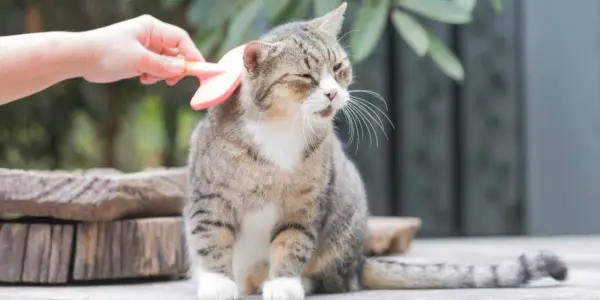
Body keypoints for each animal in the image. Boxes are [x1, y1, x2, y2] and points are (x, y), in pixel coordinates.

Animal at [185, 2, 568, 300]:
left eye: (338, 68)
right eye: (306, 77)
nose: (331, 93)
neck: (282, 128)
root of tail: (360, 260)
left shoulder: (305, 204)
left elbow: (292, 242)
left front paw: (283, 283)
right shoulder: (209, 195)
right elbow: (211, 237)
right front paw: (217, 284)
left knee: (338, 279)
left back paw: (295, 281)